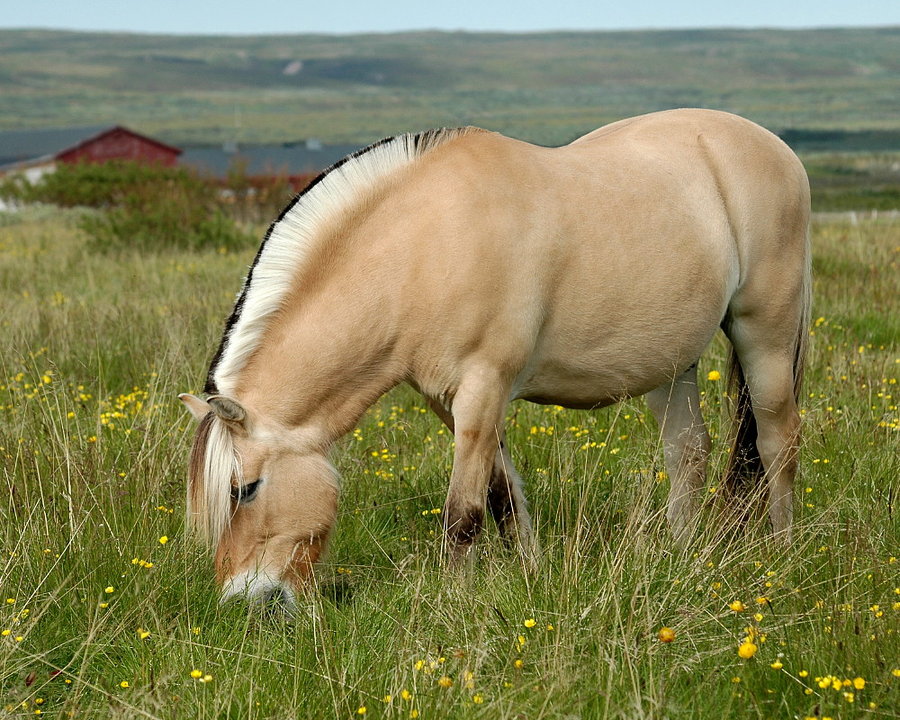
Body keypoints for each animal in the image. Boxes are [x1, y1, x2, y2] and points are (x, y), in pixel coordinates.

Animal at [179, 108, 812, 608]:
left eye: (244, 490)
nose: (243, 600)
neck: (422, 246)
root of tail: (775, 148)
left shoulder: (483, 387)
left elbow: (463, 515)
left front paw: (453, 602)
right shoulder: (450, 401)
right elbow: (502, 496)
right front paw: (531, 575)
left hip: (766, 336)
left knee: (777, 442)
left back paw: (783, 555)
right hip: (671, 362)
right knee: (689, 452)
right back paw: (677, 558)